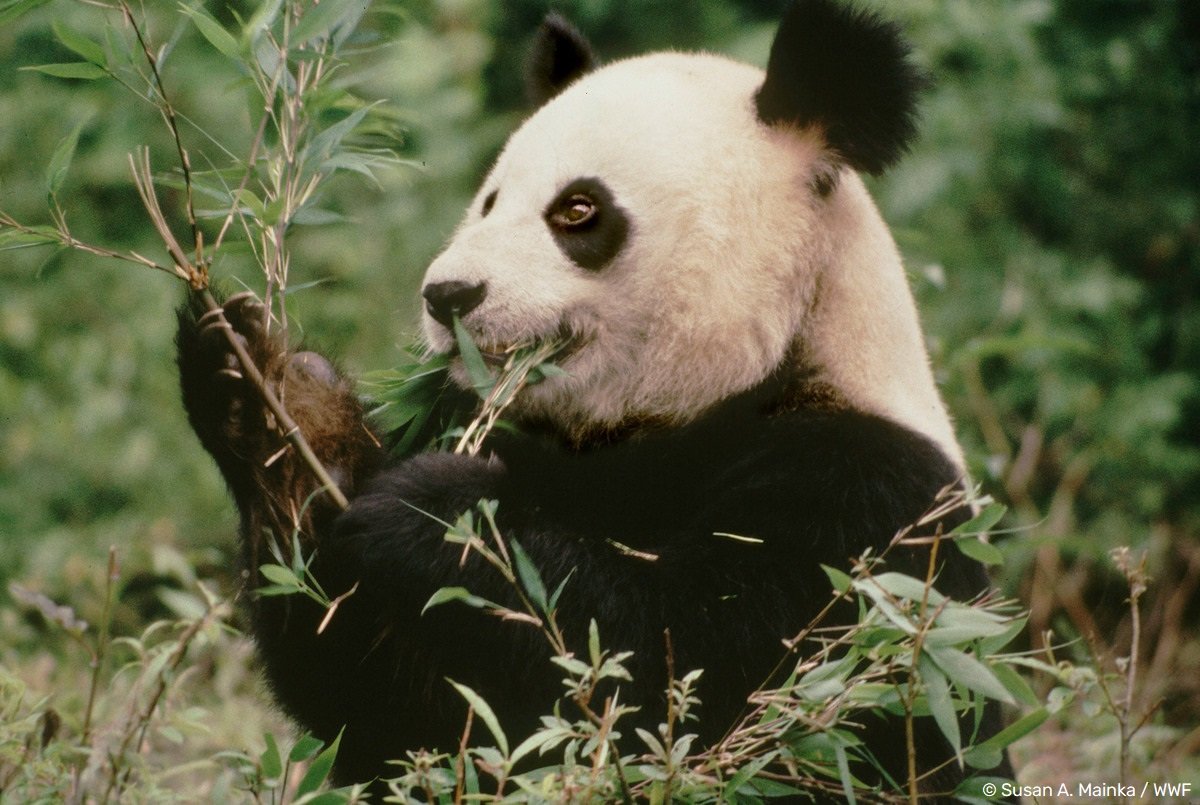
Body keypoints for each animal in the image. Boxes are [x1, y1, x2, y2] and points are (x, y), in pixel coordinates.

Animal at [178, 0, 1011, 796]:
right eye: (489, 201)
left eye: (577, 209)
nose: (447, 294)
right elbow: (401, 712)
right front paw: (276, 400)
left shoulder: (865, 502)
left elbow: (686, 676)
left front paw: (441, 511)